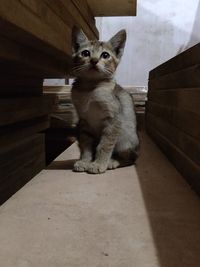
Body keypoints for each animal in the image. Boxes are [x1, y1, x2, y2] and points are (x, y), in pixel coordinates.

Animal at [71, 28, 139, 175]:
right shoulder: (84, 121)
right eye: (85, 53)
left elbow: (105, 145)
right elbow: (86, 145)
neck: (89, 89)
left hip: (125, 137)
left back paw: (113, 161)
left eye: (105, 55)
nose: (94, 60)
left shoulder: (114, 120)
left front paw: (98, 163)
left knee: (132, 158)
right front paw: (85, 161)